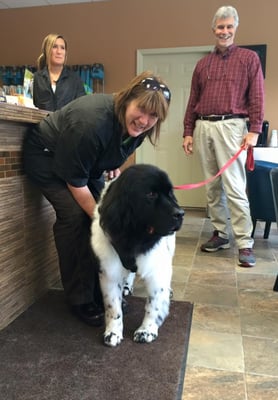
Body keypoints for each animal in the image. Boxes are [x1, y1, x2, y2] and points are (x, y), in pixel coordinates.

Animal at [90, 164, 184, 346]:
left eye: (170, 193)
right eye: (151, 194)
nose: (181, 213)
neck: (134, 237)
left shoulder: (157, 268)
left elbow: (154, 303)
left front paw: (147, 330)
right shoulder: (109, 270)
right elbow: (113, 305)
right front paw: (113, 332)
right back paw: (127, 286)